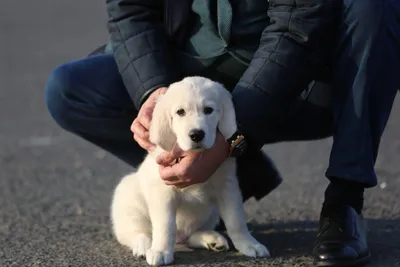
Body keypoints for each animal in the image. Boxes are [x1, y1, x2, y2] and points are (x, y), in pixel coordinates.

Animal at [111, 76, 270, 266]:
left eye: (209, 110)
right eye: (180, 112)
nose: (196, 135)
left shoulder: (228, 187)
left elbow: (236, 220)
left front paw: (249, 244)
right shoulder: (163, 191)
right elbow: (165, 225)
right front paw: (160, 251)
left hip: (211, 213)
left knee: (190, 236)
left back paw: (211, 239)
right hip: (129, 198)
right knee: (136, 232)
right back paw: (145, 246)